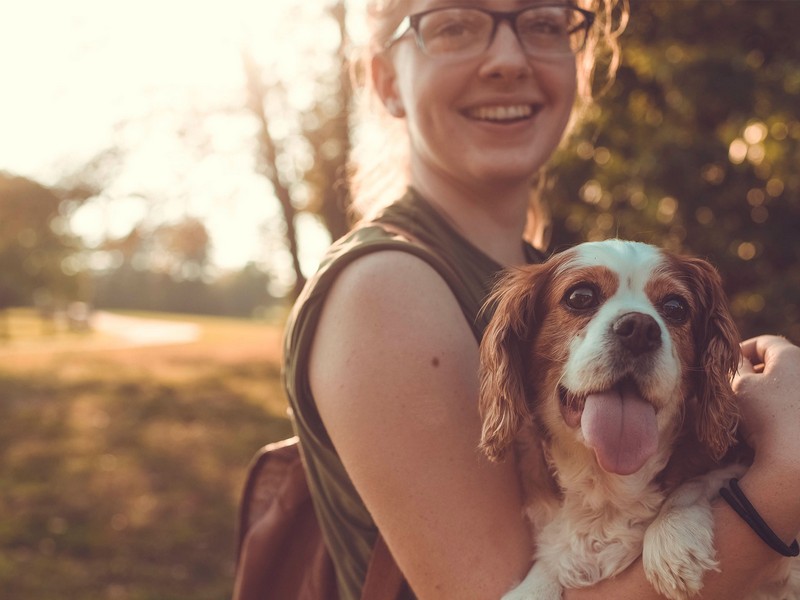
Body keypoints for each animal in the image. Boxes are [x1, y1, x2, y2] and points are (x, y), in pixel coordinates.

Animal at [478, 240, 796, 600]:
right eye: (580, 296)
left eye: (675, 307)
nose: (640, 330)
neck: (609, 484)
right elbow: (551, 559)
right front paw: (533, 586)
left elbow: (701, 481)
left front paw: (672, 537)